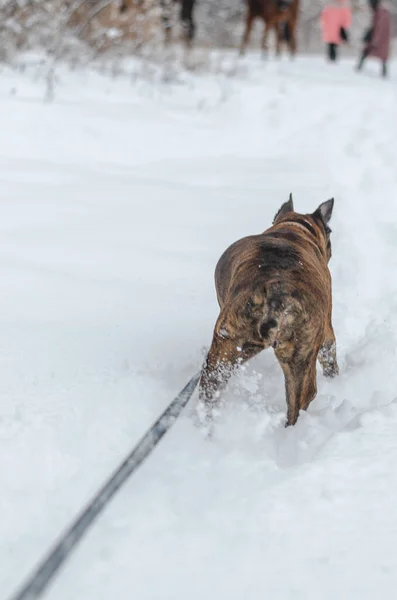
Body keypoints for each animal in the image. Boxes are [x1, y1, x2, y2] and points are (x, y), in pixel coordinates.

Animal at [198, 196, 338, 426]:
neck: (293, 228)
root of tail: (275, 293)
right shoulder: (326, 330)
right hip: (302, 355)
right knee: (301, 401)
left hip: (224, 351)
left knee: (210, 391)